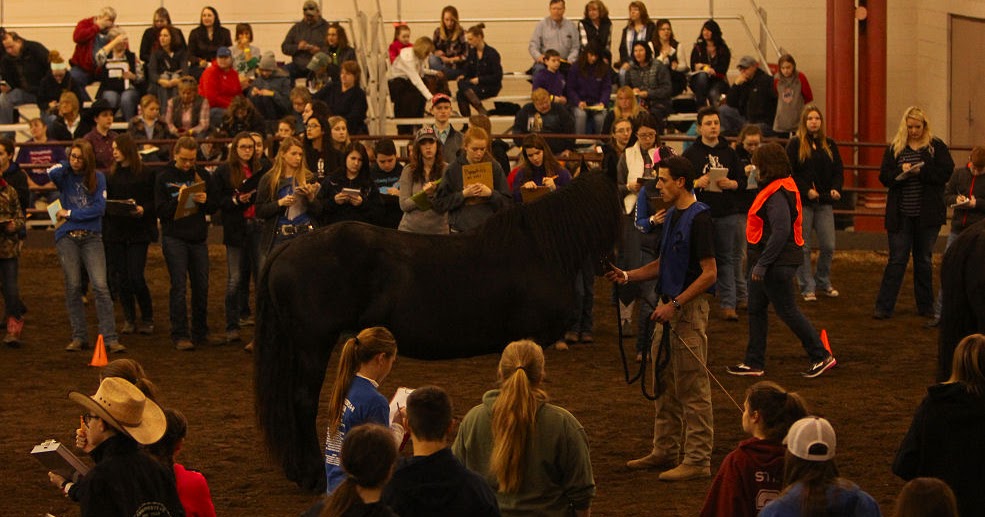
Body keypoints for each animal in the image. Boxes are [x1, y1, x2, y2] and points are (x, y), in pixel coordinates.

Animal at [253, 171, 621, 491]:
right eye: (618, 203)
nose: (614, 265)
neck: (540, 250)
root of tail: (287, 248)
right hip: (313, 345)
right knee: (303, 401)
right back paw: (313, 475)